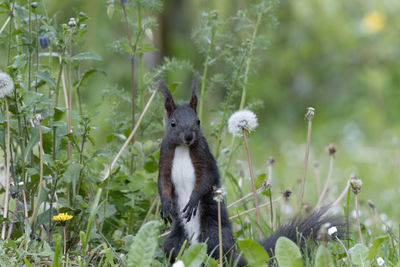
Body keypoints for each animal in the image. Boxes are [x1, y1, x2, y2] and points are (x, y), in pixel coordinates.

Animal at [158, 80, 346, 266]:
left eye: (198, 121)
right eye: (172, 123)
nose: (188, 137)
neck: (183, 148)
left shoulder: (205, 157)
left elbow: (206, 178)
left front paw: (193, 200)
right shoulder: (165, 157)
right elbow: (163, 182)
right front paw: (166, 206)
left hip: (214, 235)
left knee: (217, 254)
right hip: (174, 241)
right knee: (174, 249)